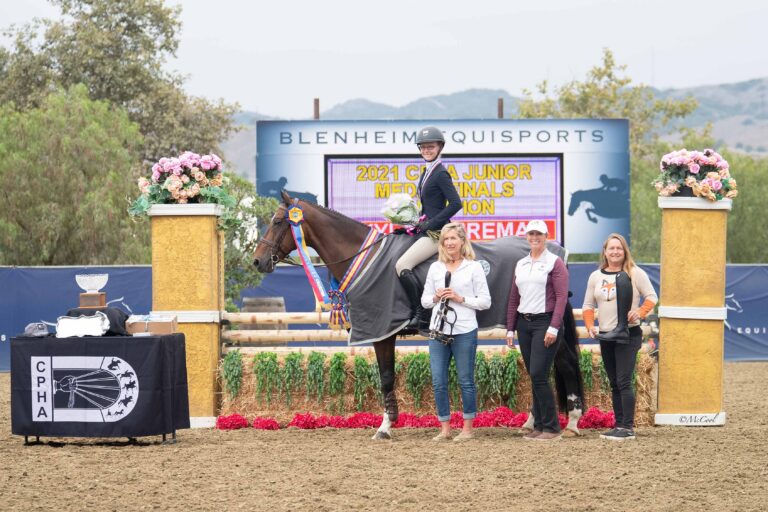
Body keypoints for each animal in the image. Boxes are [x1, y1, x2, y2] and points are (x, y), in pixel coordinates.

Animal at [252, 192, 584, 440]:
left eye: (278, 221)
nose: (257, 262)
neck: (364, 258)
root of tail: (556, 253)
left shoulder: (382, 332)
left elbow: (386, 377)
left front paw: (385, 426)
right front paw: (388, 424)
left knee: (563, 362)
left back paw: (572, 420)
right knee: (541, 366)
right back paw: (532, 422)